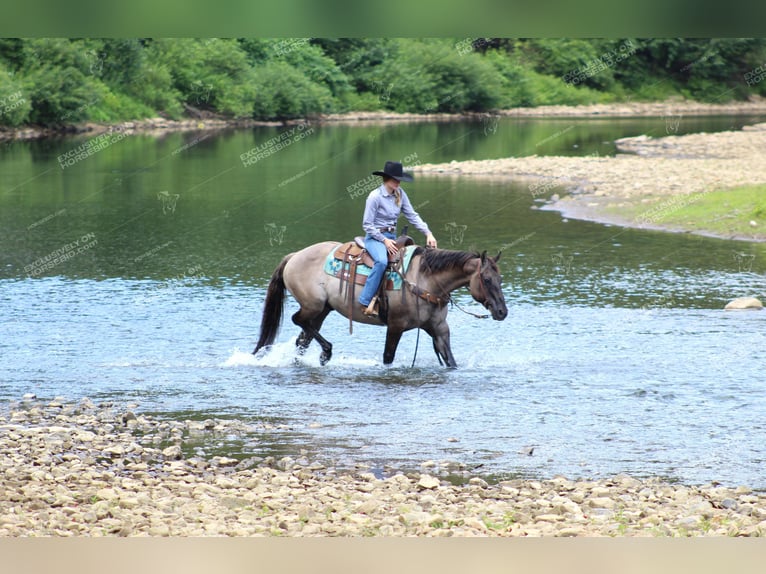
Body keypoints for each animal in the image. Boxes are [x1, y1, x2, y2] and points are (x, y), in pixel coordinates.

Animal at [252, 242, 512, 368]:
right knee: (298, 321)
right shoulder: (395, 326)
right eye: (486, 279)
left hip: (323, 309)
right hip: (312, 305)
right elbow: (388, 357)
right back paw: (326, 352)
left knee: (303, 338)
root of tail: (293, 256)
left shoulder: (439, 330)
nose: (502, 311)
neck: (425, 280)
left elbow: (450, 361)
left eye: (500, 279)